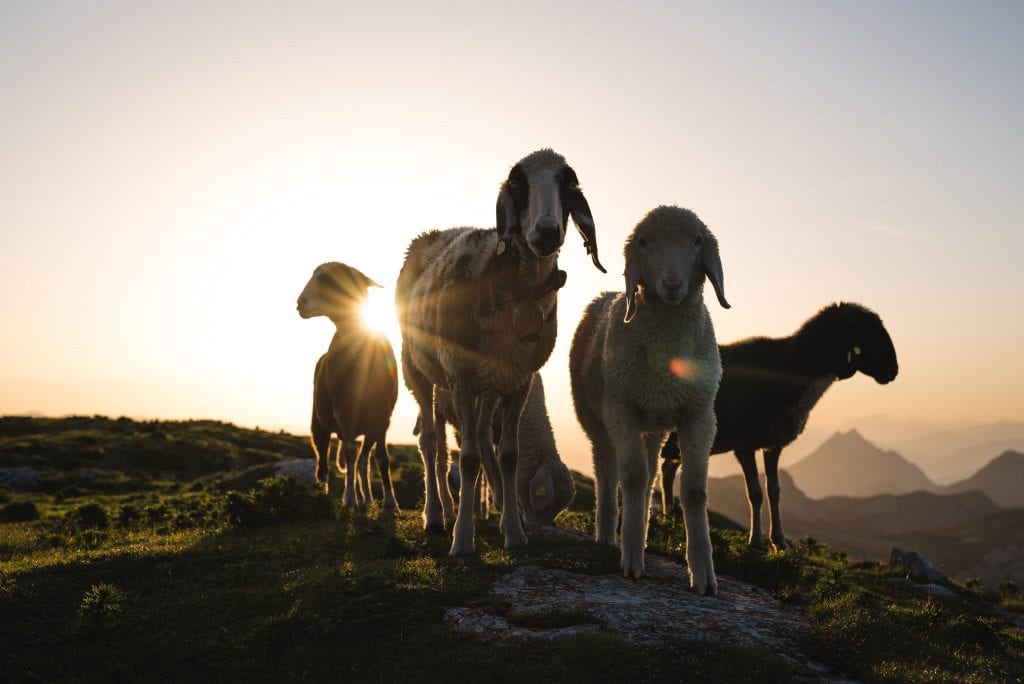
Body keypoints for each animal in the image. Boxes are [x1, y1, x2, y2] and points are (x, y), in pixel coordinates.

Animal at [296, 262, 399, 507]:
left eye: (328, 279)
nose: (300, 303)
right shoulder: (345, 413)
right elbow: (350, 454)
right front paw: (349, 497)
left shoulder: (383, 417)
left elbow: (382, 458)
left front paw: (391, 502)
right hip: (319, 423)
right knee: (323, 464)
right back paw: (325, 496)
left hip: (368, 426)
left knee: (364, 459)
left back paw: (367, 499)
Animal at [389, 148, 598, 557]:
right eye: (517, 183)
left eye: (568, 184)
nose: (547, 232)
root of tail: (427, 236)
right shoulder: (460, 375)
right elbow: (469, 459)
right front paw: (463, 538)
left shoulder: (519, 381)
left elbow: (507, 456)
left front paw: (514, 533)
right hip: (417, 370)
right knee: (431, 444)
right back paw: (436, 516)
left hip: (488, 386)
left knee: (477, 439)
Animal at [569, 204, 729, 593]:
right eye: (643, 242)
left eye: (697, 240)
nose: (671, 284)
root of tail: (607, 294)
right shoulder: (621, 409)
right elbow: (631, 477)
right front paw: (630, 558)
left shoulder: (700, 414)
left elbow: (694, 490)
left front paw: (703, 573)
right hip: (595, 417)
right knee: (607, 470)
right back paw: (608, 533)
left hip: (654, 425)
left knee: (652, 472)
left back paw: (638, 529)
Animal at [663, 301, 897, 548]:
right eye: (866, 331)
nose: (893, 371)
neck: (791, 368)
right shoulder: (744, 444)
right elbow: (755, 493)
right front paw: (756, 541)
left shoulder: (774, 444)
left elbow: (774, 491)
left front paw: (779, 542)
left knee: (667, 470)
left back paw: (669, 518)